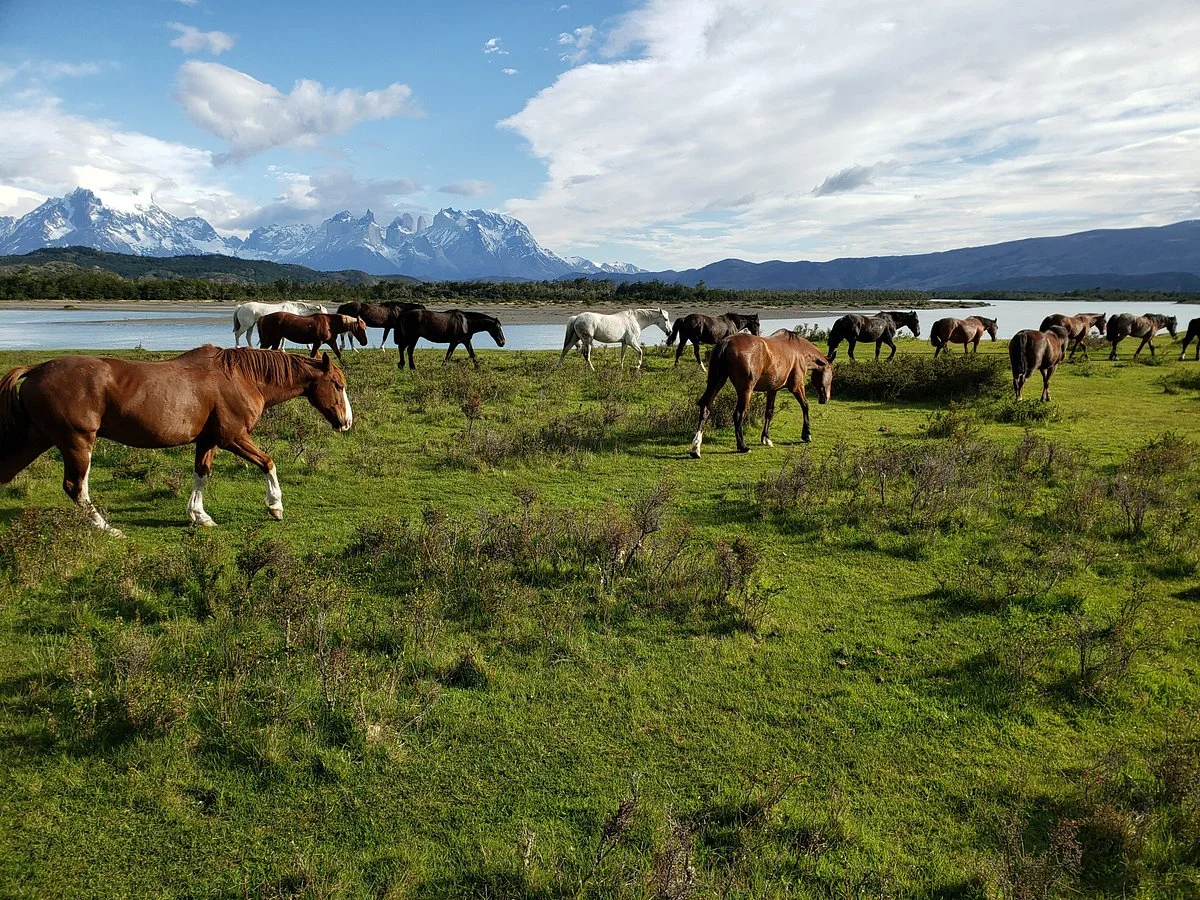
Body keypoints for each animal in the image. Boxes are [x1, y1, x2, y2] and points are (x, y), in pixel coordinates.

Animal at [0, 346, 352, 534]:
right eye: (338, 384)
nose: (346, 422)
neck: (242, 378)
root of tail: (36, 369)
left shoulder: (209, 440)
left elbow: (201, 475)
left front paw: (199, 516)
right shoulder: (234, 437)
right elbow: (268, 462)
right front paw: (275, 506)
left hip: (38, 439)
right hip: (76, 442)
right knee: (76, 487)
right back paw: (106, 528)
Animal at [689, 329, 833, 458]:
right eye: (832, 373)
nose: (825, 398)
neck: (798, 351)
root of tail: (727, 342)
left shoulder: (772, 390)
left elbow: (769, 412)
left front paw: (766, 438)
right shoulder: (797, 387)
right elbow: (805, 406)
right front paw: (807, 434)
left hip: (717, 382)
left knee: (705, 408)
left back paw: (695, 448)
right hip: (745, 391)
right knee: (738, 414)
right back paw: (742, 446)